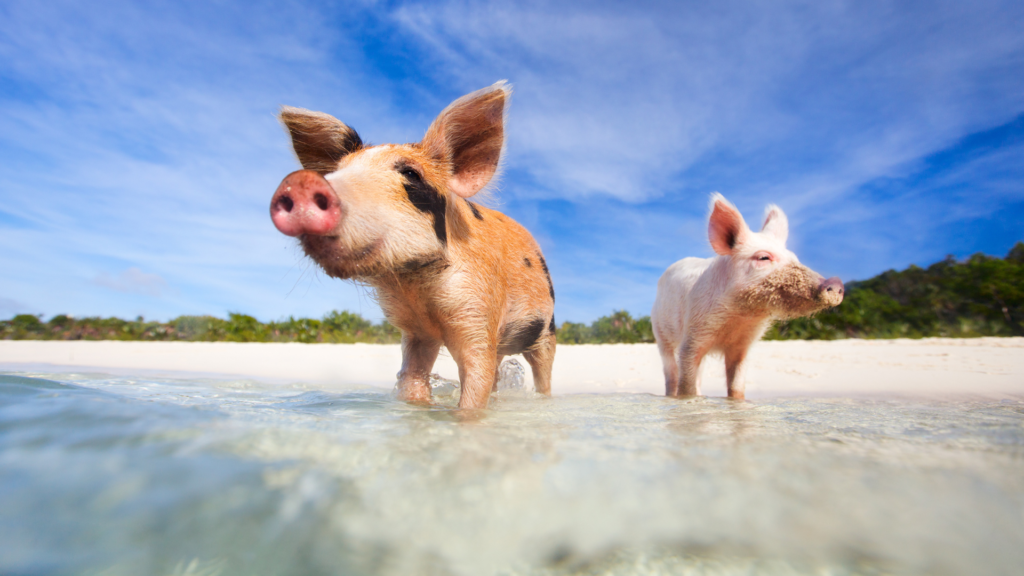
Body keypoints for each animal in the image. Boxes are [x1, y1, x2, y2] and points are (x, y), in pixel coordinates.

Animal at [268, 83, 557, 409]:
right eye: (335, 171)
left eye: (411, 174)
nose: (300, 182)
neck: (417, 288)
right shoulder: (416, 332)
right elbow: (413, 380)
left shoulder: (478, 310)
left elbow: (475, 385)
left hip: (547, 331)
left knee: (542, 373)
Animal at [651, 192, 843, 399]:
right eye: (763, 257)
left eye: (795, 258)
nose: (836, 283)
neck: (740, 316)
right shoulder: (693, 335)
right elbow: (686, 385)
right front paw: (687, 399)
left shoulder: (743, 344)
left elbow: (737, 385)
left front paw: (736, 401)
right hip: (660, 332)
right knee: (671, 372)